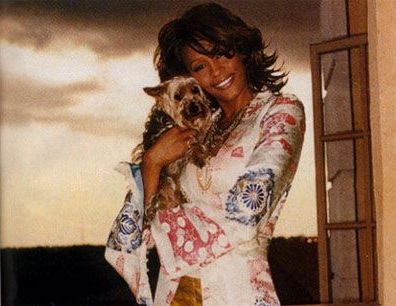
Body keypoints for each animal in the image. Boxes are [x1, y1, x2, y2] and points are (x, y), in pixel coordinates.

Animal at [133, 76, 212, 225]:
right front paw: (198, 155)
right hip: (166, 184)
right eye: (178, 96)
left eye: (195, 89)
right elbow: (191, 141)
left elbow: (197, 142)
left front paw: (199, 154)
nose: (194, 106)